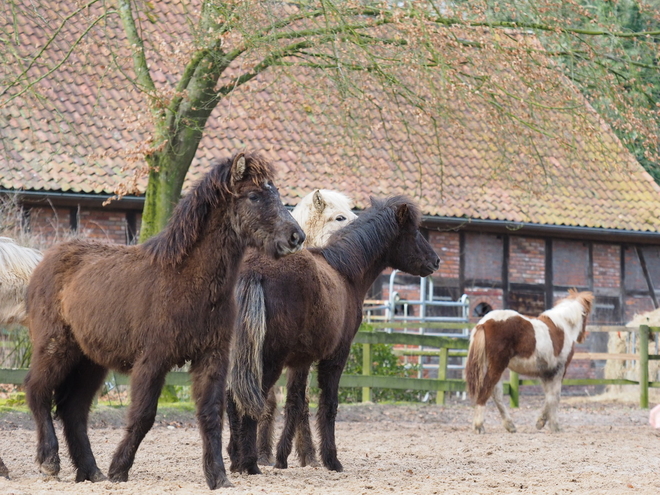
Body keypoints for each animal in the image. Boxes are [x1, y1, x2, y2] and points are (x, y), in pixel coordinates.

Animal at [22, 153, 306, 490]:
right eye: (253, 195)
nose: (296, 237)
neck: (184, 279)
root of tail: (44, 261)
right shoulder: (152, 360)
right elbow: (143, 415)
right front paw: (120, 470)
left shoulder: (212, 357)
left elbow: (211, 415)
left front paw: (218, 476)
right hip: (56, 346)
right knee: (37, 390)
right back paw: (50, 460)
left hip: (90, 360)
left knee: (73, 410)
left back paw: (91, 471)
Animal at [226, 196, 438, 474]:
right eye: (413, 233)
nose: (435, 261)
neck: (343, 271)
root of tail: (253, 270)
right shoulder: (337, 356)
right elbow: (328, 404)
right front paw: (331, 459)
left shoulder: (301, 360)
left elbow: (295, 403)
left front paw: (284, 458)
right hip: (266, 361)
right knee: (251, 400)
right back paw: (249, 463)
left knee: (231, 399)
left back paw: (233, 458)